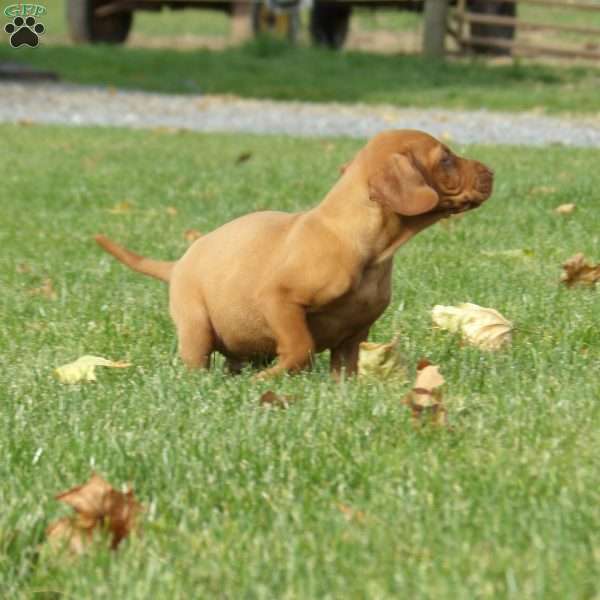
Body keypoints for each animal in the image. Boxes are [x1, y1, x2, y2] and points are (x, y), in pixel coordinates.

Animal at [96, 129, 494, 378]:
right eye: (445, 159)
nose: (491, 171)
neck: (370, 250)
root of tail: (178, 263)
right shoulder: (278, 299)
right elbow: (300, 347)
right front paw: (269, 379)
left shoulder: (355, 333)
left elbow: (345, 370)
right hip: (195, 326)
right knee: (197, 360)